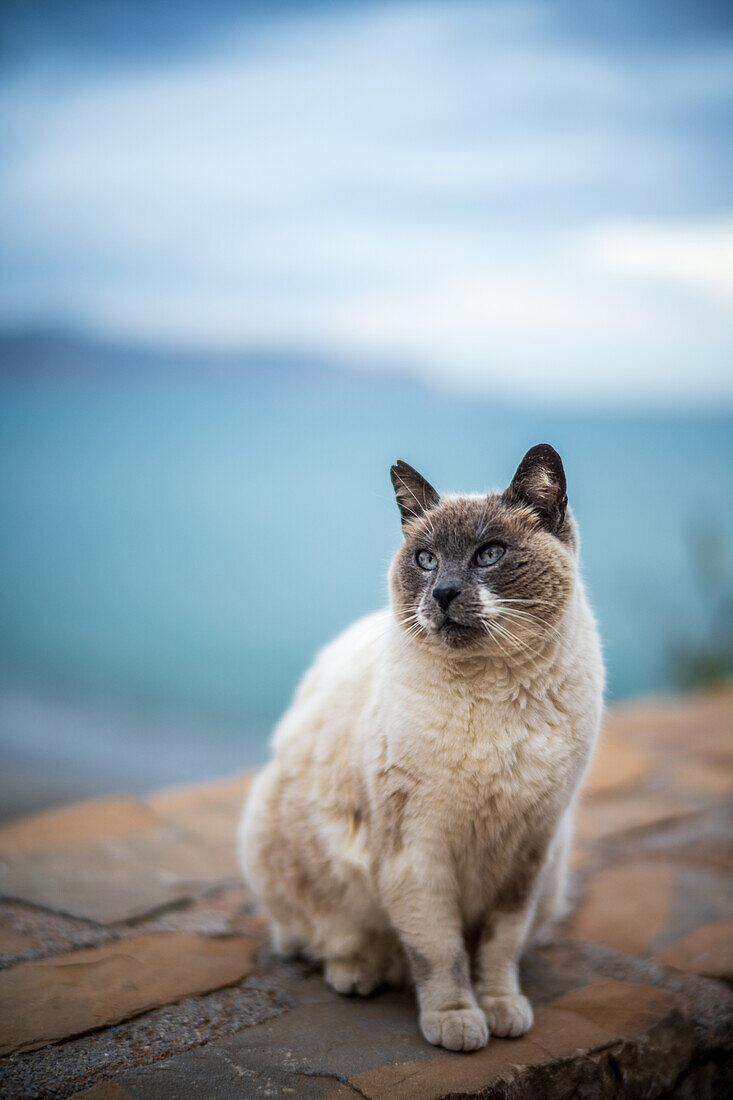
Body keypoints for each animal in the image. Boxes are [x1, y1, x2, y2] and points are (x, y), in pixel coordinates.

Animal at [236, 444, 603, 1047]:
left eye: (489, 554)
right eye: (427, 560)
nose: (444, 593)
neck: (493, 692)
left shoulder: (529, 850)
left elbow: (498, 948)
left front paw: (501, 1009)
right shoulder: (417, 849)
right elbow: (440, 950)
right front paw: (457, 1021)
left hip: (552, 878)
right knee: (323, 938)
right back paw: (366, 973)